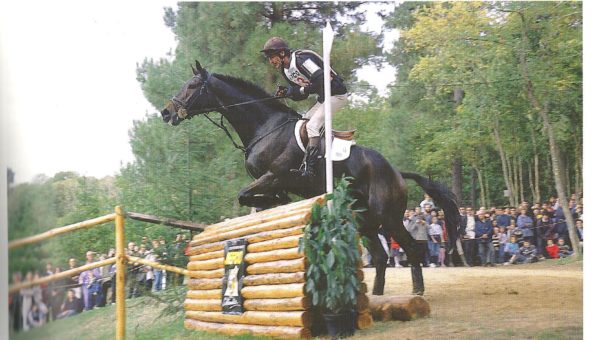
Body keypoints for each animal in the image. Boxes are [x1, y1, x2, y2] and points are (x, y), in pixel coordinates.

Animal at [161, 60, 460, 294]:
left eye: (191, 86)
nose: (166, 112)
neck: (264, 128)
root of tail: (396, 172)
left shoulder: (275, 176)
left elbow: (245, 195)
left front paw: (275, 205)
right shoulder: (272, 181)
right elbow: (259, 199)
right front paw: (275, 207)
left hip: (387, 217)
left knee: (409, 248)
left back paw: (417, 291)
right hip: (365, 220)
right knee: (380, 255)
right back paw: (377, 295)